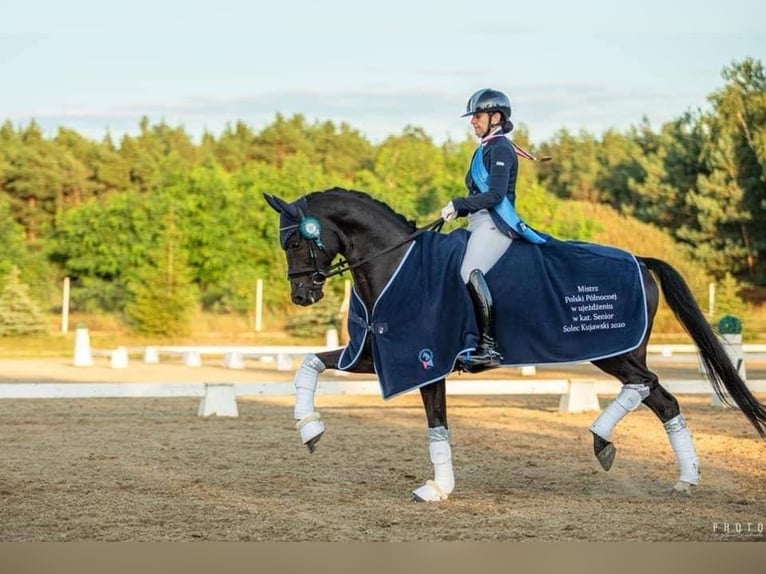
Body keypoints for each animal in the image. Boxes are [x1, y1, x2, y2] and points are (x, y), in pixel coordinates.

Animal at [266, 187, 766, 502]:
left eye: (295, 242)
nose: (302, 295)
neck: (396, 261)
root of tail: (639, 259)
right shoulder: (377, 355)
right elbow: (310, 363)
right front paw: (309, 429)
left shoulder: (426, 358)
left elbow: (436, 424)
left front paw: (437, 489)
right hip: (619, 353)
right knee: (662, 398)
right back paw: (682, 478)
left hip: (614, 351)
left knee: (646, 385)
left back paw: (605, 437)